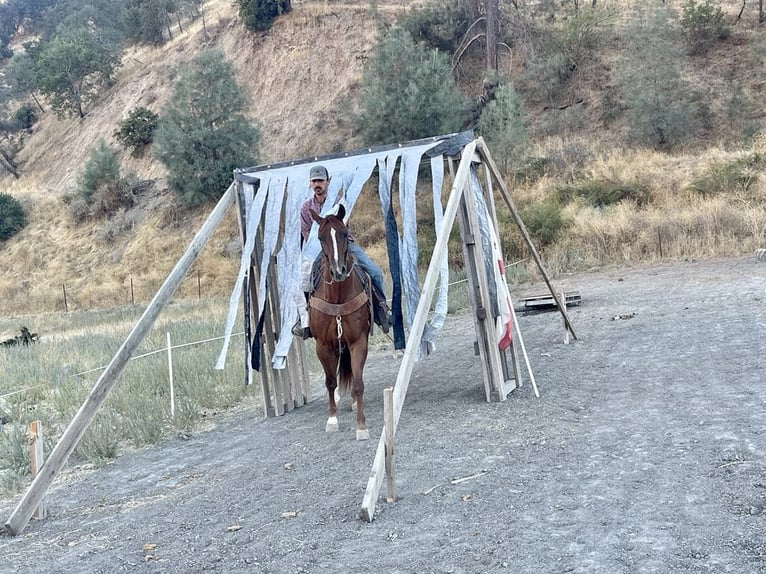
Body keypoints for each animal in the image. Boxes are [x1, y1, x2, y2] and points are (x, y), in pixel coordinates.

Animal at [308, 205, 372, 440]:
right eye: (320, 237)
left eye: (345, 234)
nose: (338, 271)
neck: (337, 298)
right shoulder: (323, 346)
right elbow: (329, 382)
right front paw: (332, 419)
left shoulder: (358, 341)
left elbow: (358, 383)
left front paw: (361, 425)